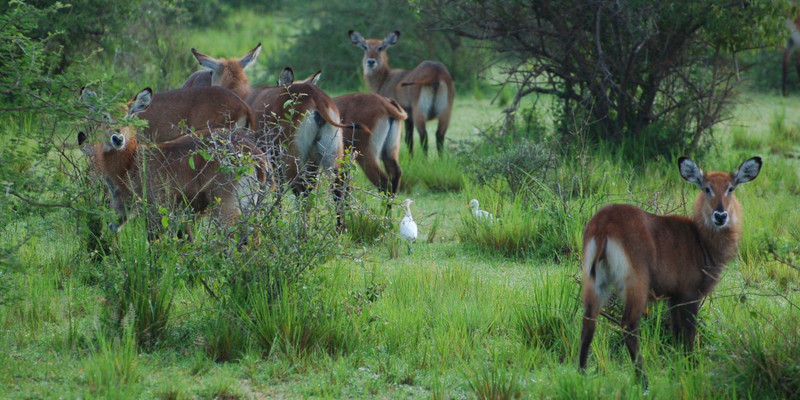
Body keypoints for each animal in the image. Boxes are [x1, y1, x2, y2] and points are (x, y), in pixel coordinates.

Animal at [580, 155, 764, 384]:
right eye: (707, 188)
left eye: (731, 188)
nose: (720, 216)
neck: (700, 240)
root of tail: (604, 224)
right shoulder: (689, 295)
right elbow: (689, 335)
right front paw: (691, 370)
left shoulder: (672, 298)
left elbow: (675, 334)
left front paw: (678, 369)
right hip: (636, 283)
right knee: (628, 325)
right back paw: (643, 380)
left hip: (594, 281)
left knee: (588, 323)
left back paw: (581, 373)